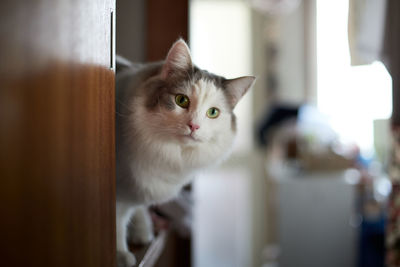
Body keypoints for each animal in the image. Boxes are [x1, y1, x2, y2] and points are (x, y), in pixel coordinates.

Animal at [114, 38, 255, 266]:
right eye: (181, 100)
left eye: (213, 113)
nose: (193, 126)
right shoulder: (117, 189)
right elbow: (116, 222)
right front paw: (118, 254)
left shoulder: (135, 187)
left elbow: (130, 211)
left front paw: (137, 233)